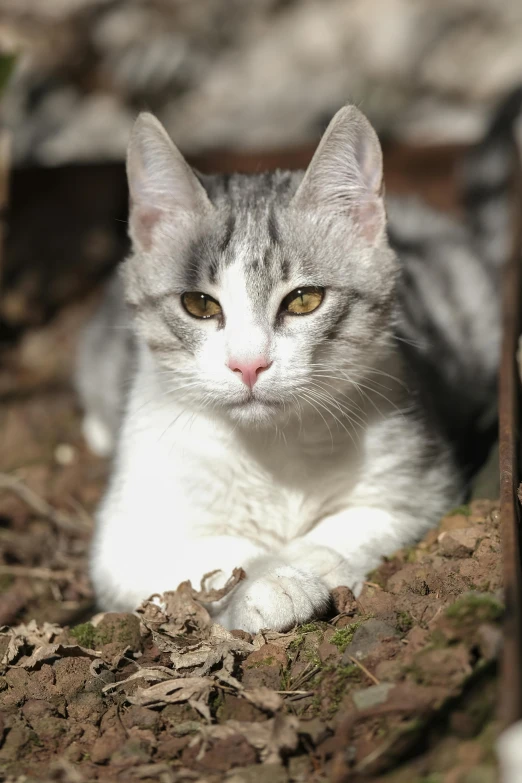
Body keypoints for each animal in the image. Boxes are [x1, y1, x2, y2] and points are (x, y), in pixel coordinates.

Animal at [76, 96, 512, 632]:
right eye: (198, 304)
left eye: (304, 300)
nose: (248, 364)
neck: (272, 448)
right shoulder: (125, 541)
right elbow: (208, 558)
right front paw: (271, 583)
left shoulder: (415, 483)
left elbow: (349, 525)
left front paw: (307, 564)